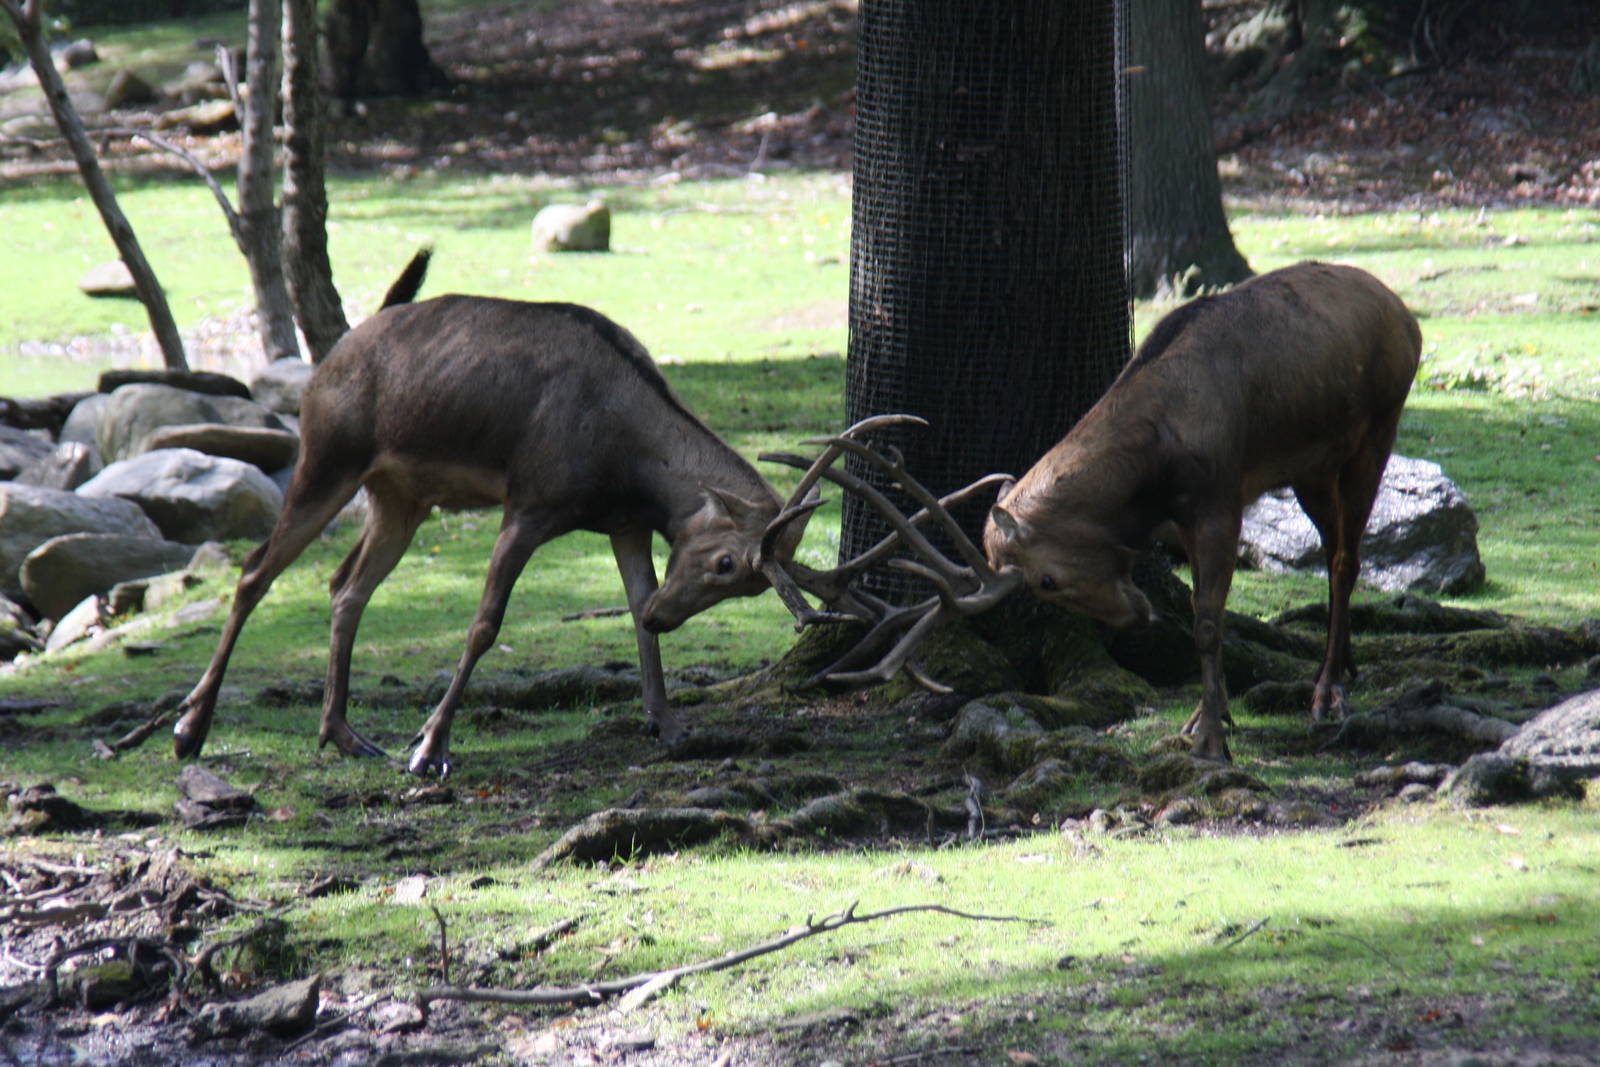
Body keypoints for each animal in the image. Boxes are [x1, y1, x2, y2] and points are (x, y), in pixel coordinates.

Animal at [172, 249, 814, 778]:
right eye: (727, 562)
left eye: (753, 586)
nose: (667, 617)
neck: (631, 468)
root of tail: (333, 354)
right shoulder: (529, 504)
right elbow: (485, 623)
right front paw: (430, 747)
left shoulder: (624, 523)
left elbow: (633, 607)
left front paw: (669, 723)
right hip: (329, 456)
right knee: (256, 570)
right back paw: (190, 728)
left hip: (402, 497)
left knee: (345, 585)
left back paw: (343, 733)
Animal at [760, 261, 1422, 763]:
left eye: (1047, 580)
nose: (1137, 617)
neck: (1152, 472)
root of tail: (1407, 315)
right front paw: (1205, 716)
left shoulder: (1219, 498)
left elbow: (1209, 622)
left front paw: (1209, 740)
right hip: (1313, 467)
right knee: (1339, 550)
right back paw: (1347, 666)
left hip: (1378, 426)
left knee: (1346, 557)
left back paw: (1327, 693)